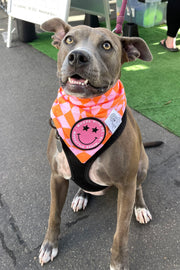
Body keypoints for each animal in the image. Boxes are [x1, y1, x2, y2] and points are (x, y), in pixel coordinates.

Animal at [38, 17, 156, 268]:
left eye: (107, 46)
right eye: (68, 40)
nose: (77, 57)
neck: (85, 109)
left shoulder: (126, 186)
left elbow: (121, 234)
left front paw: (118, 263)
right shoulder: (56, 176)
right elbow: (54, 215)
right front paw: (49, 245)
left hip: (141, 167)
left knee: (139, 188)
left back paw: (141, 208)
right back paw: (81, 195)